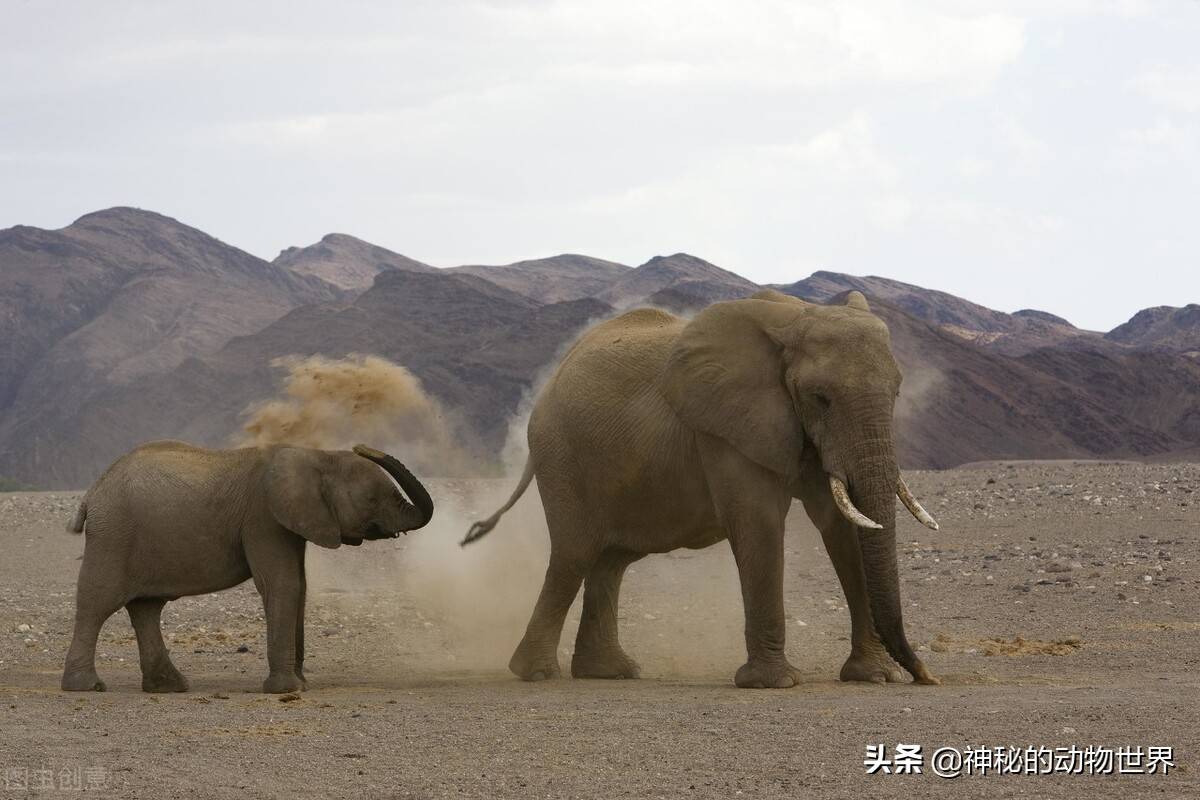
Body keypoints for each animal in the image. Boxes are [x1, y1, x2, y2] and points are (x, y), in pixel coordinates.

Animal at [463, 287, 940, 690]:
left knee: (610, 561)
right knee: (574, 556)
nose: (926, 677)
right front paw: (774, 684)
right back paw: (536, 673)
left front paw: (875, 677)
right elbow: (759, 521)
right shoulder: (726, 427)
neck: (796, 318)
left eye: (898, 392)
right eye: (820, 397)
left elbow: (841, 525)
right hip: (562, 455)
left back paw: (608, 672)